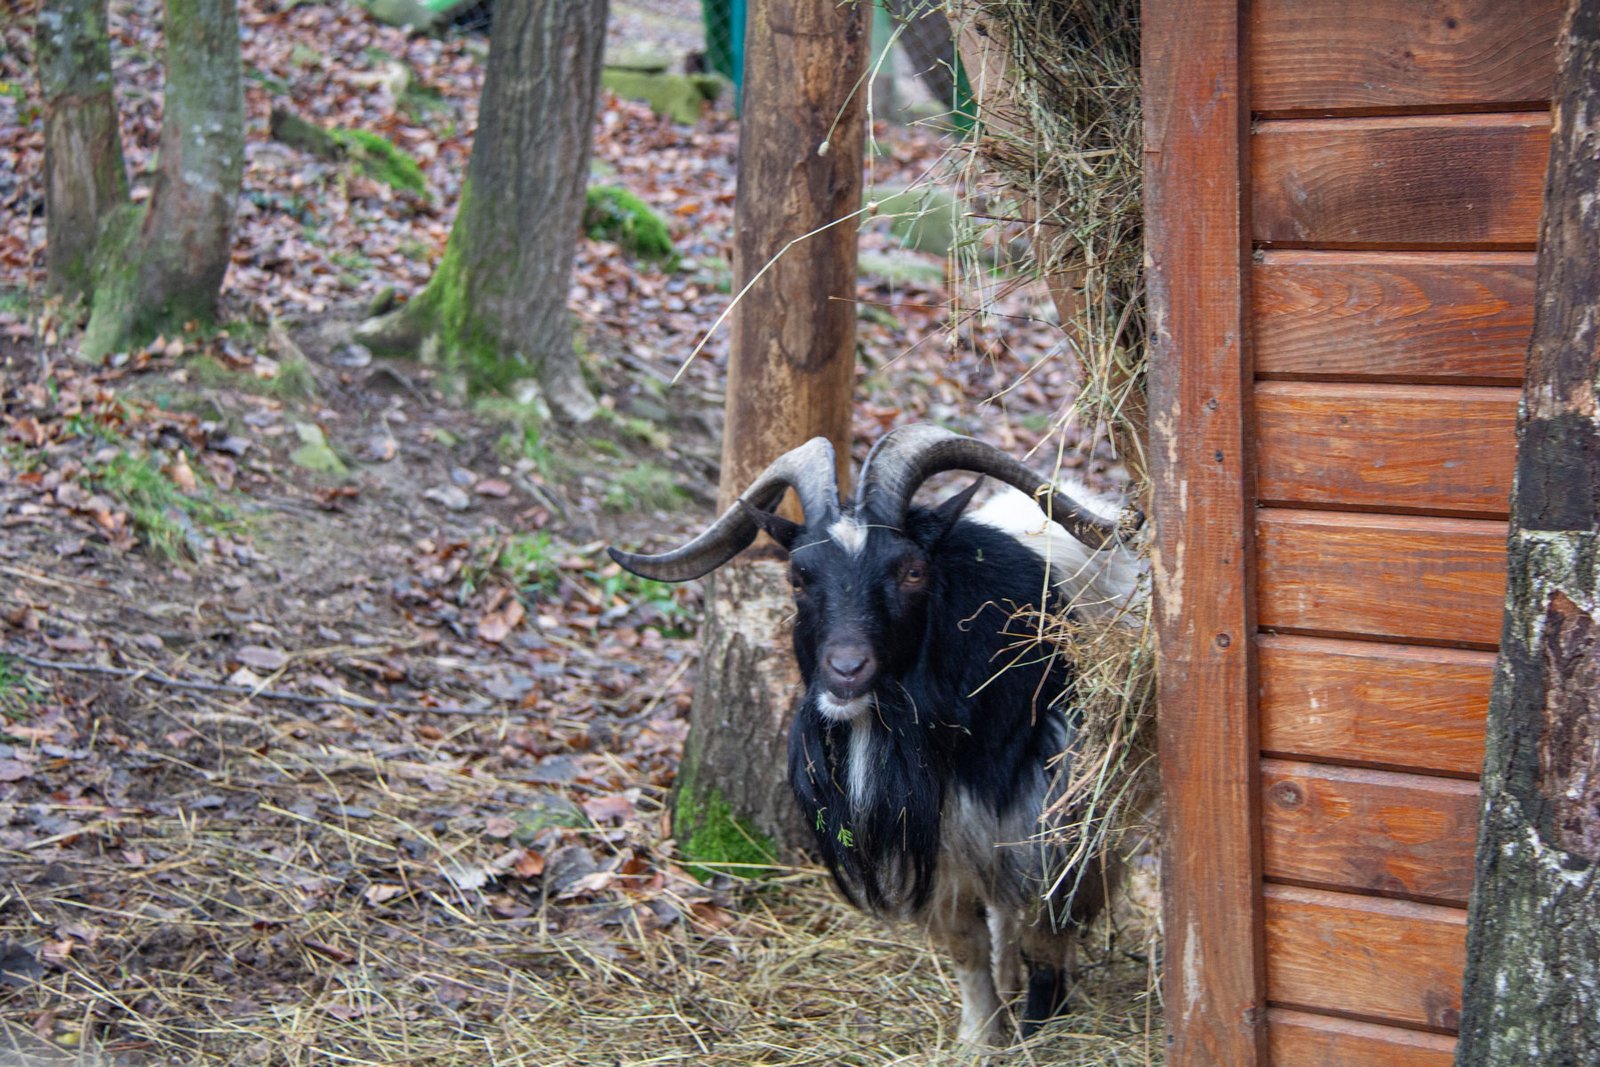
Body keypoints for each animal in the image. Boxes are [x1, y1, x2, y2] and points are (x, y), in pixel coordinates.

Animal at [609, 423, 1139, 1045]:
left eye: (912, 571)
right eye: (799, 576)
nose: (845, 670)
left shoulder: (1057, 820)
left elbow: (1048, 930)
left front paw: (1038, 1025)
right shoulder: (938, 842)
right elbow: (966, 946)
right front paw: (978, 1040)